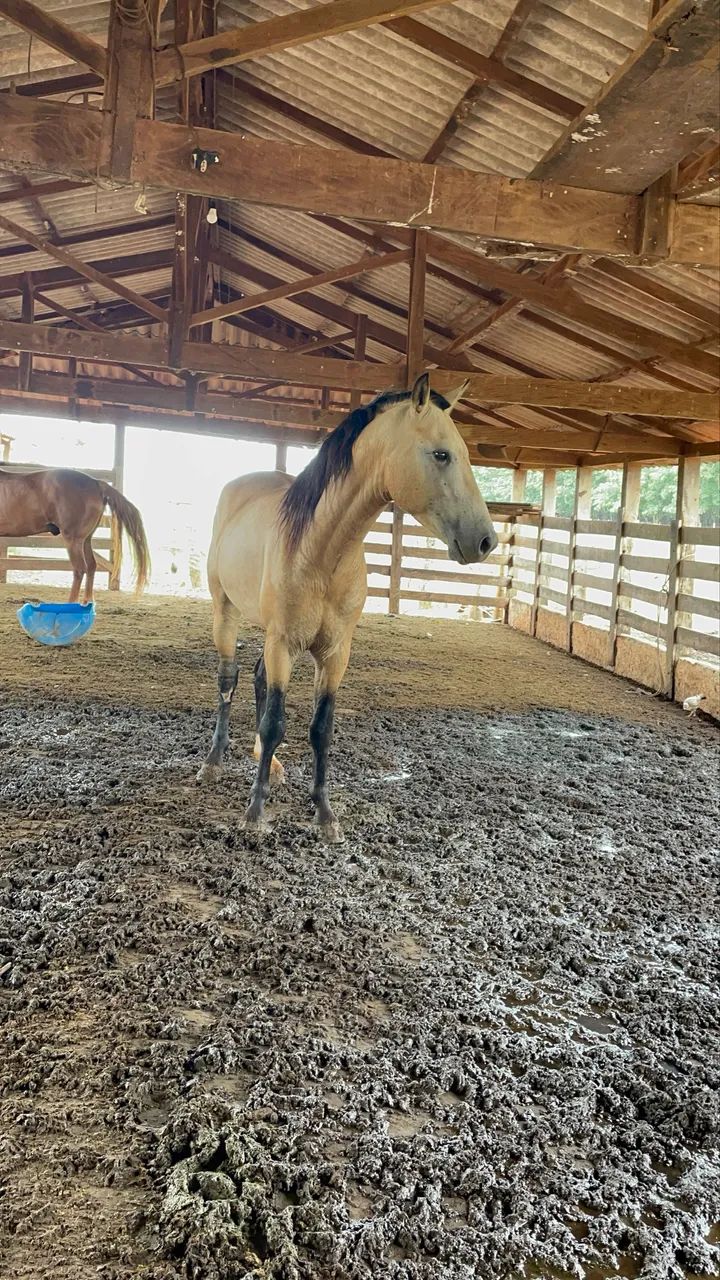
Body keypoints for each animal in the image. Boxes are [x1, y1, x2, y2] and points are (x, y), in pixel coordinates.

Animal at [198, 372, 498, 842]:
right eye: (441, 454)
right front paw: (255, 810)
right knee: (228, 681)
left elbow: (321, 728)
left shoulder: (335, 652)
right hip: (225, 613)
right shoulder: (283, 643)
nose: (486, 540)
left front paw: (324, 813)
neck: (322, 552)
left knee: (258, 680)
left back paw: (270, 763)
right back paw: (212, 762)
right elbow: (276, 721)